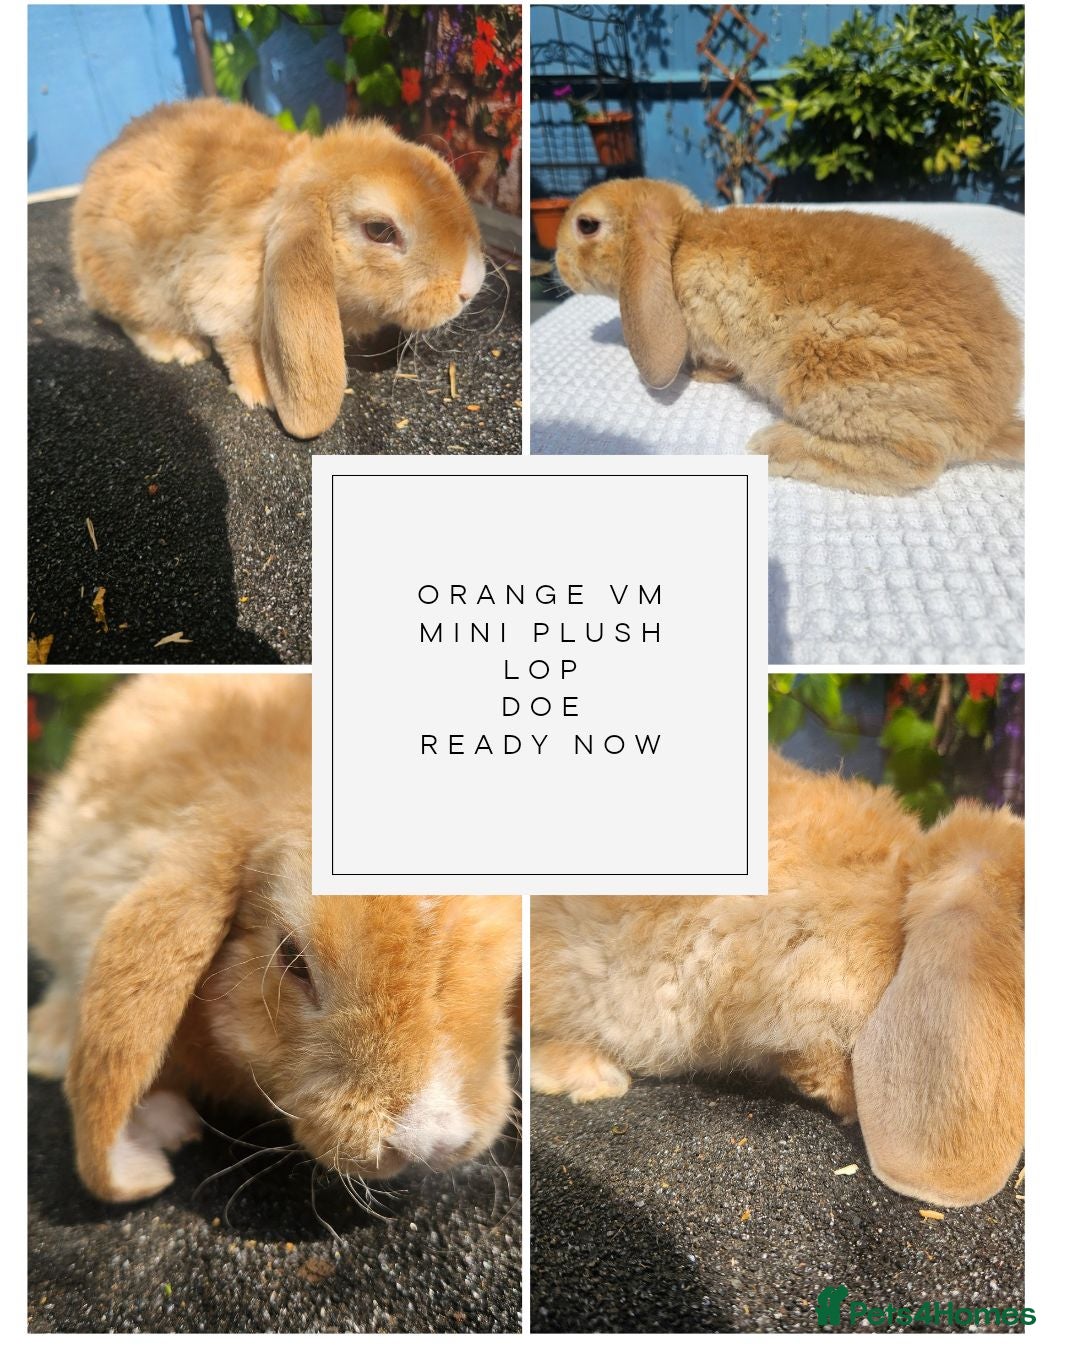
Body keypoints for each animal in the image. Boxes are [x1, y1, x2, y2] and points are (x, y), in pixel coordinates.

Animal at [71, 99, 487, 439]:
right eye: (380, 231)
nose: (470, 286)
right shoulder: (218, 295)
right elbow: (236, 344)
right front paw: (261, 393)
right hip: (131, 284)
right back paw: (180, 348)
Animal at [554, 179, 1023, 494]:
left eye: (587, 225)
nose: (557, 265)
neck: (680, 242)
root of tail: (990, 422)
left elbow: (715, 360)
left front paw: (702, 376)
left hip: (830, 370)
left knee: (916, 462)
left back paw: (774, 446)